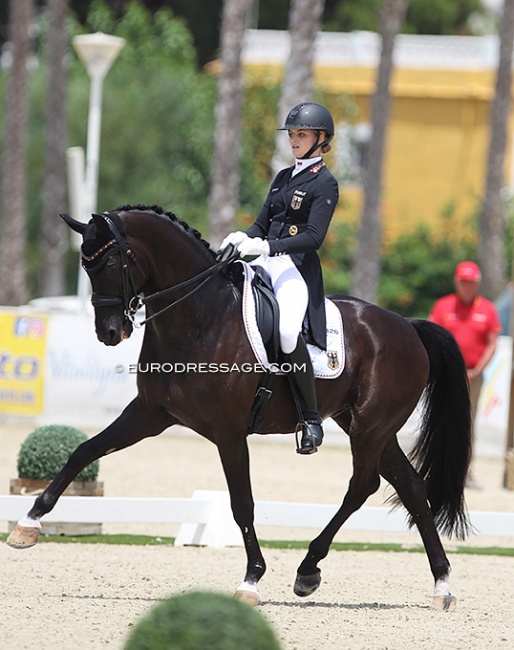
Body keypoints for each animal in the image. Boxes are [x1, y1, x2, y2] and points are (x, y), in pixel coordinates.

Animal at [6, 204, 468, 608]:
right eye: (86, 265)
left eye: (112, 260)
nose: (109, 332)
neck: (200, 317)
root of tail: (408, 326)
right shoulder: (150, 414)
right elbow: (83, 450)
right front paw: (27, 525)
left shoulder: (228, 430)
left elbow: (241, 502)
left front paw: (251, 580)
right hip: (365, 425)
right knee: (410, 487)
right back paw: (442, 585)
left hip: (371, 427)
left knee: (363, 486)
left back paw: (308, 569)